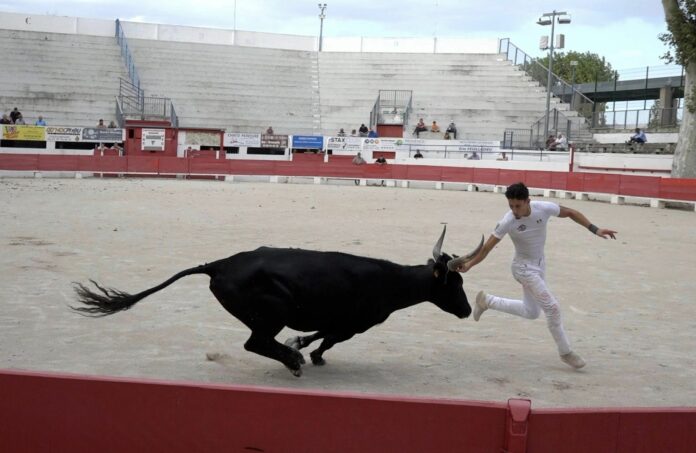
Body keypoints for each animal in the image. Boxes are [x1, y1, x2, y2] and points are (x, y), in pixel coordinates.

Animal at [72, 226, 484, 378]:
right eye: (455, 283)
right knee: (255, 342)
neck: (388, 280)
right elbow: (326, 339)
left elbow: (318, 334)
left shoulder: (339, 321)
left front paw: (302, 347)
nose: (466, 310)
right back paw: (293, 363)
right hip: (274, 312)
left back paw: (291, 357)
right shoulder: (353, 324)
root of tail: (219, 264)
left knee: (260, 341)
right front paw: (308, 354)